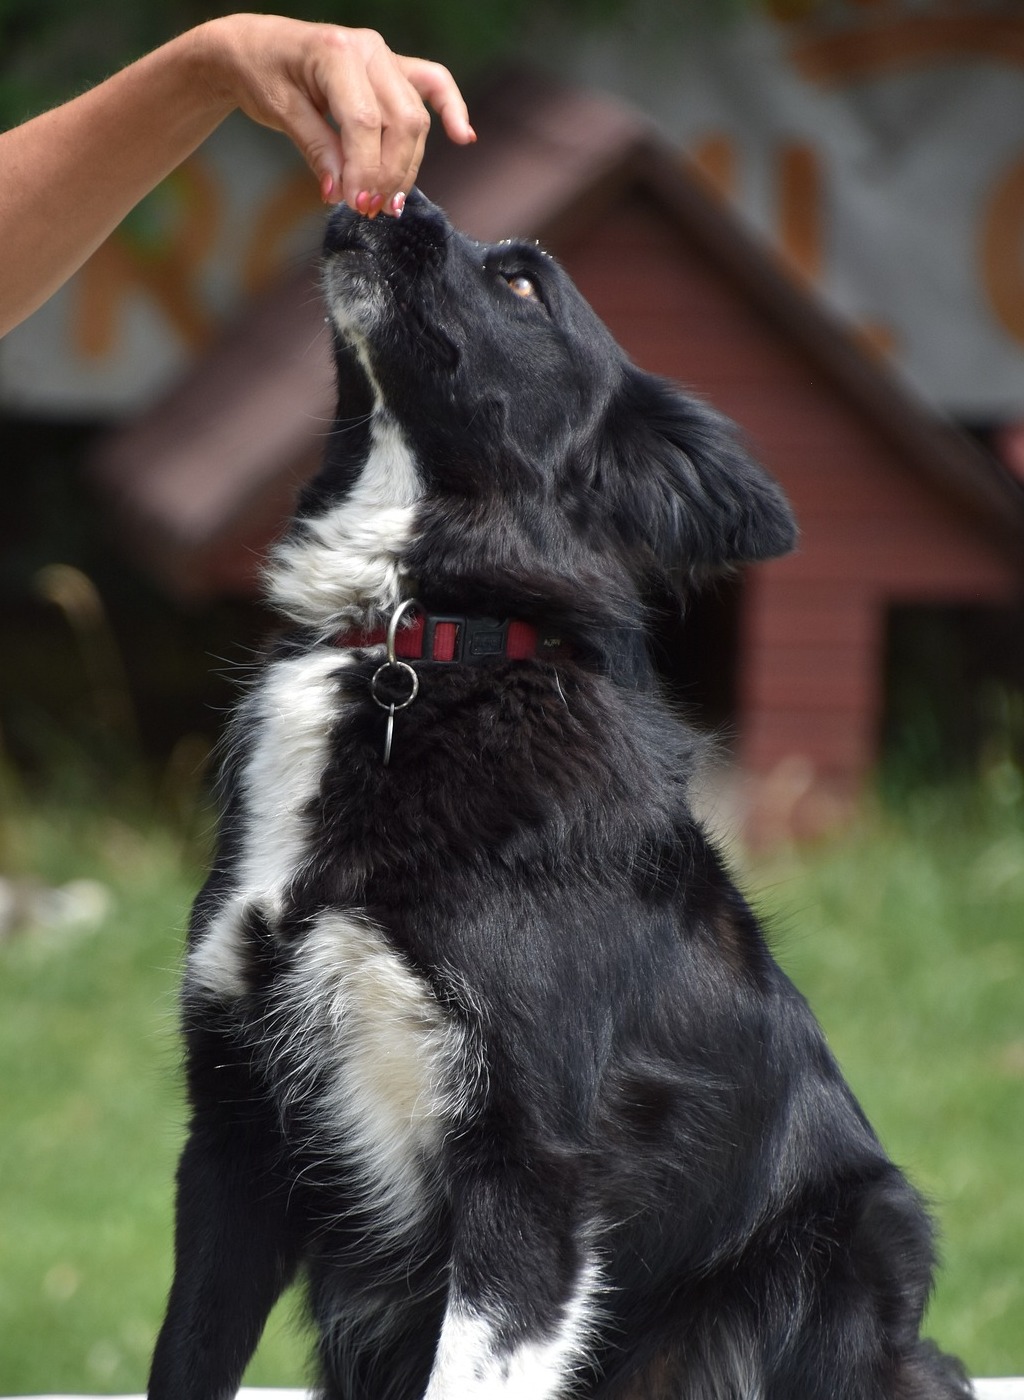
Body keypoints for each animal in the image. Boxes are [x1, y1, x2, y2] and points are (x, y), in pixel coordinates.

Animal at [148, 189, 974, 1400]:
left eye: (524, 281)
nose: (389, 195)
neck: (418, 649)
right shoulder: (233, 1129)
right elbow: (185, 1353)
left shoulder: (529, 1166)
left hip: (835, 1247)